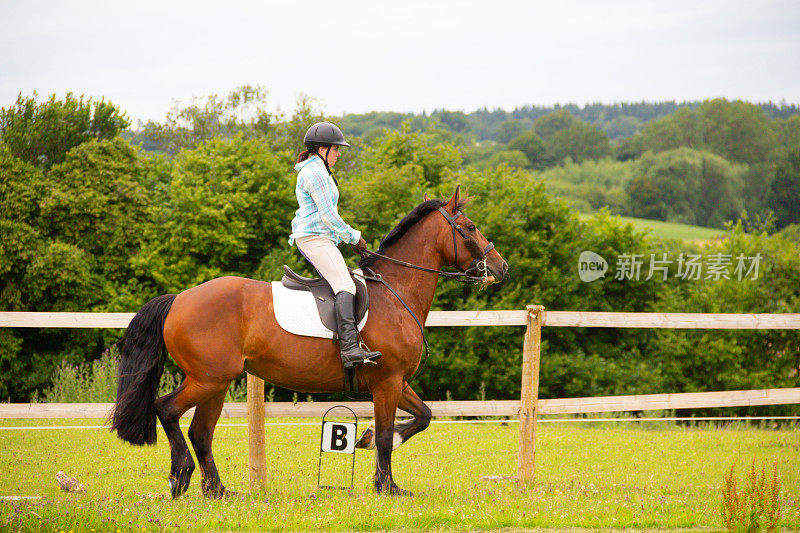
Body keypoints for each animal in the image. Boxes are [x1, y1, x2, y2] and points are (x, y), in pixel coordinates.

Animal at [111, 186, 506, 494]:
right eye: (470, 227)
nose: (502, 268)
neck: (395, 293)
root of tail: (178, 299)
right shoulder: (388, 382)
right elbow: (385, 435)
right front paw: (387, 486)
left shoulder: (395, 382)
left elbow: (422, 416)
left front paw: (373, 458)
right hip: (208, 379)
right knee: (168, 410)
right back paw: (181, 476)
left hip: (216, 382)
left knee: (200, 432)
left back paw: (218, 490)